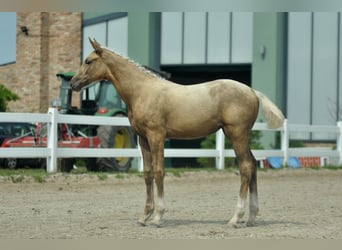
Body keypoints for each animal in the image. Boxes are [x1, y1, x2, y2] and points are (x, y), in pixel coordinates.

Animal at [71, 38, 284, 228]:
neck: (142, 91)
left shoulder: (156, 136)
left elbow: (159, 171)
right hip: (241, 136)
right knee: (253, 165)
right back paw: (251, 218)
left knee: (246, 167)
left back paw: (235, 218)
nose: (73, 83)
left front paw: (157, 217)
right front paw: (144, 216)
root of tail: (252, 91)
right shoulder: (143, 139)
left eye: (88, 61)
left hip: (237, 134)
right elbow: (147, 173)